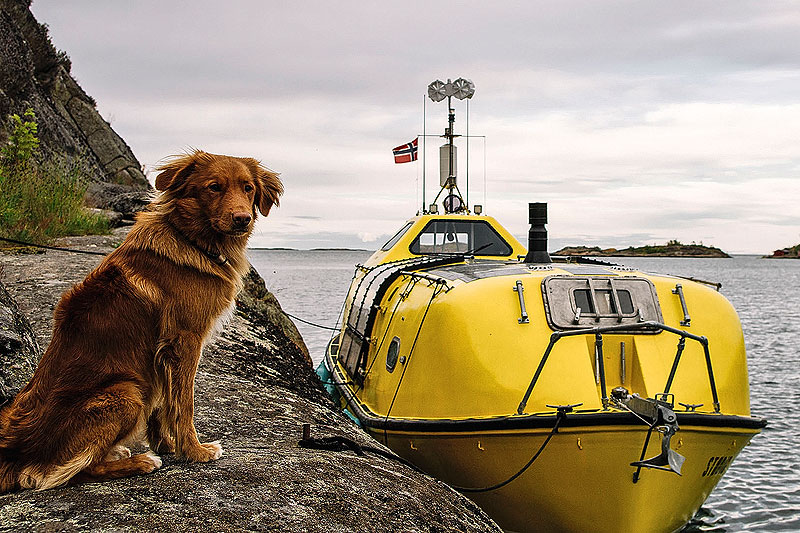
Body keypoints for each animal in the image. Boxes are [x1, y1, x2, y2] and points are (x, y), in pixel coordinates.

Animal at [0, 150, 282, 490]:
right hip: (126, 392)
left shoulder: (161, 354)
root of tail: (16, 453)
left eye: (248, 188)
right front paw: (195, 451)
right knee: (71, 472)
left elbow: (163, 406)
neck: (191, 239)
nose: (242, 218)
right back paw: (140, 462)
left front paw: (167, 445)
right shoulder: (185, 340)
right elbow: (183, 404)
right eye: (214, 187)